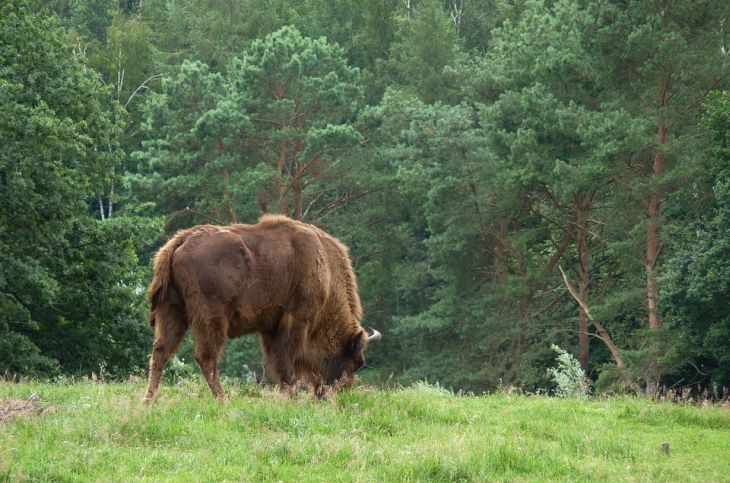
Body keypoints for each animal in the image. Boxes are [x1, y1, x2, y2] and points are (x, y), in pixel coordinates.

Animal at [144, 216, 382, 400]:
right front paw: (291, 397)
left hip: (172, 310)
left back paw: (149, 402)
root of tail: (181, 240)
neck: (326, 272)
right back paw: (223, 401)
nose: (338, 394)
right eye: (357, 362)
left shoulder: (271, 328)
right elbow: (287, 363)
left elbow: (277, 363)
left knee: (161, 352)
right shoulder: (297, 320)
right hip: (210, 317)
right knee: (206, 358)